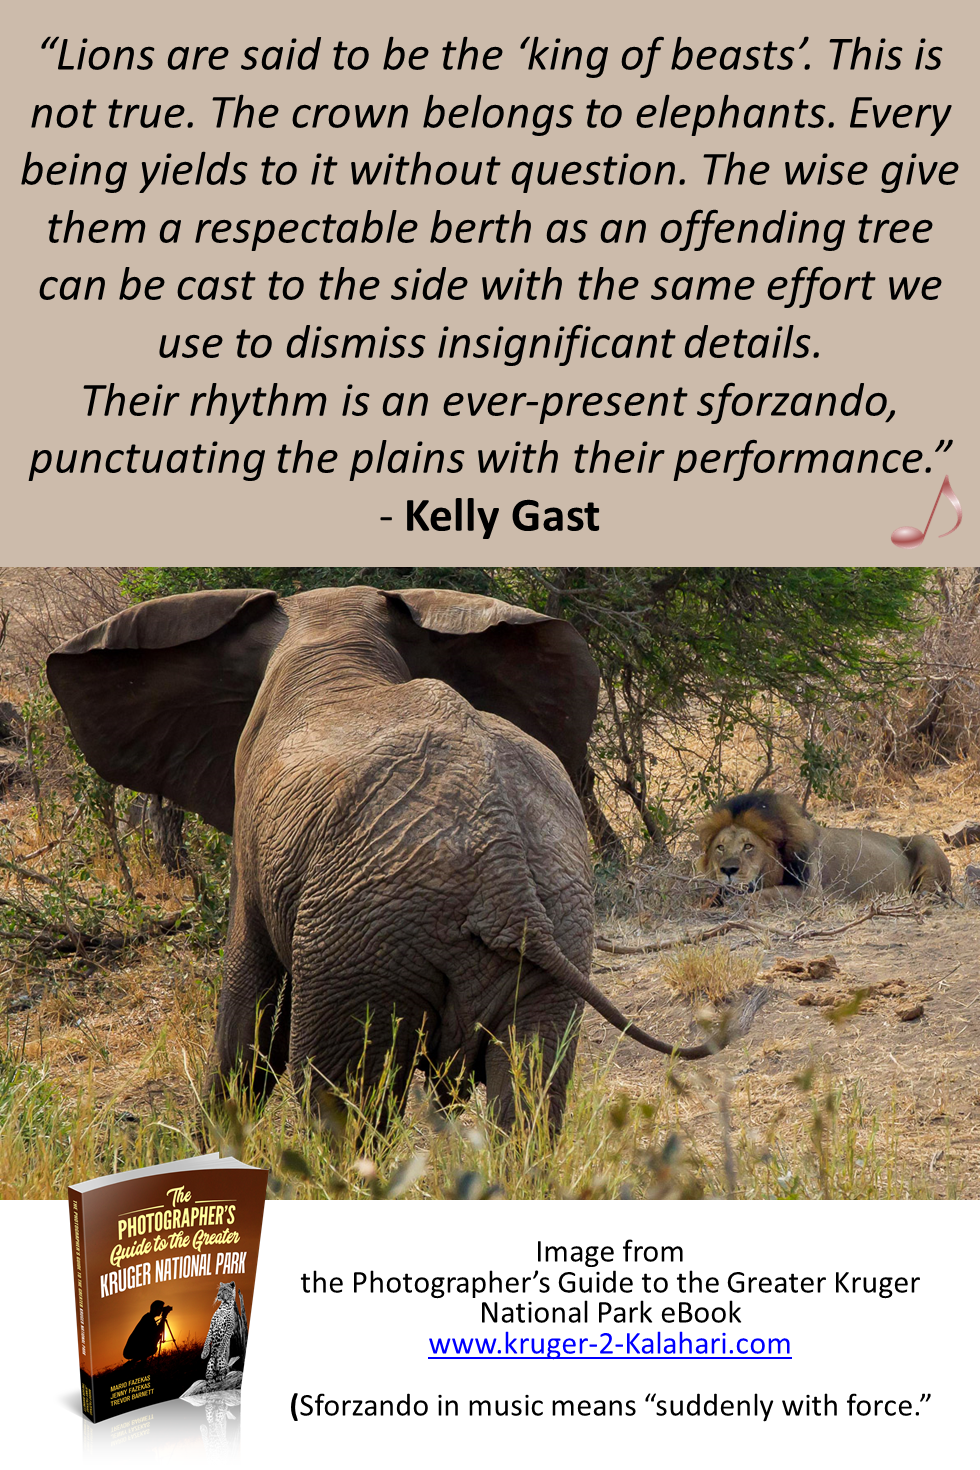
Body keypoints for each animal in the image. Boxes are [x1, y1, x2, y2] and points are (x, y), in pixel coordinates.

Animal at [48, 586, 719, 1132]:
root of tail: (503, 864)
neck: (335, 634)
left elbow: (248, 1010)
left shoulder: (250, 833)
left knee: (342, 1109)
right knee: (529, 1100)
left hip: (359, 943)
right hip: (552, 919)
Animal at [699, 790, 952, 901]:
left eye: (748, 846)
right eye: (720, 848)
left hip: (925, 840)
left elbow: (761, 895)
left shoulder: (810, 894)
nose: (728, 870)